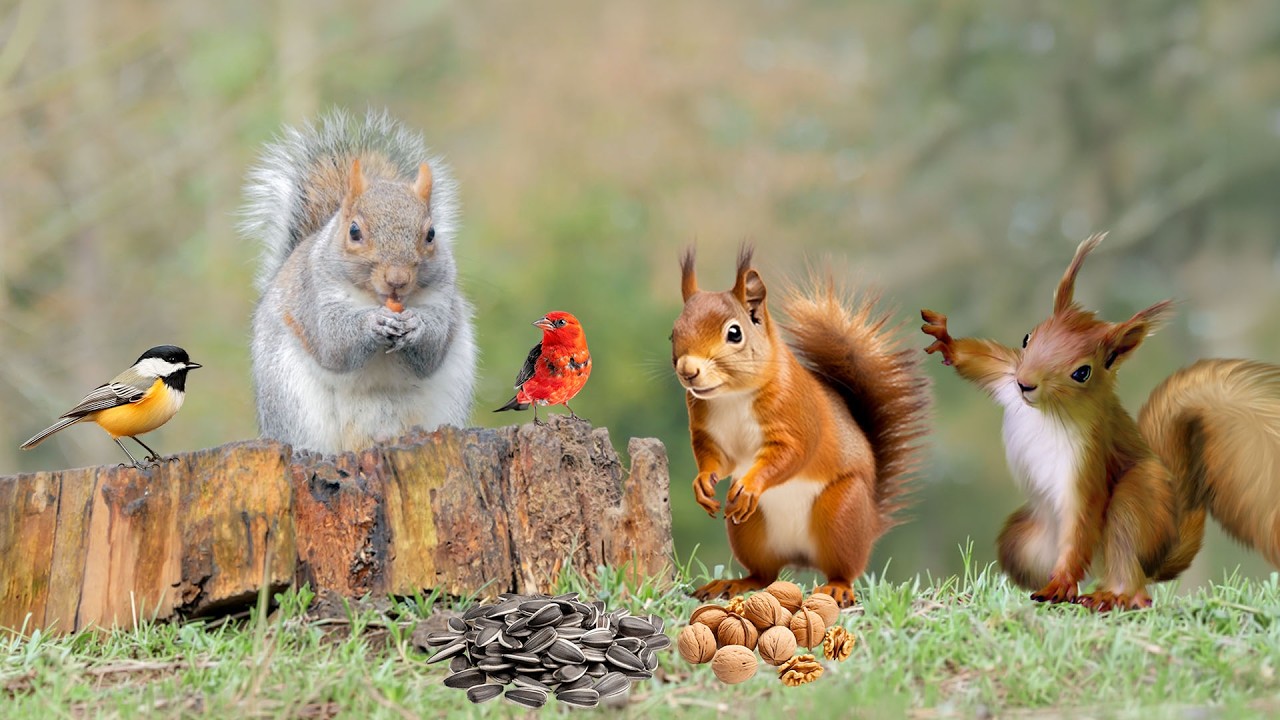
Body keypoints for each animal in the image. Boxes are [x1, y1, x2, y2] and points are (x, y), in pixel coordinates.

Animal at [242, 109, 476, 453]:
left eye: (431, 234)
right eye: (354, 231)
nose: (397, 279)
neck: (376, 298)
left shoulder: (442, 294)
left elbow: (432, 350)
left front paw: (415, 325)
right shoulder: (314, 295)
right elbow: (333, 343)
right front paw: (373, 323)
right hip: (293, 402)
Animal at [671, 246, 931, 607]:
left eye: (734, 333)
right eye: (673, 333)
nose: (687, 371)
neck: (732, 397)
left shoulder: (797, 417)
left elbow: (792, 454)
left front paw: (750, 485)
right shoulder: (707, 431)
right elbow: (715, 460)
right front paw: (702, 485)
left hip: (842, 513)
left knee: (844, 569)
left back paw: (837, 587)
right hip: (750, 531)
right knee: (764, 575)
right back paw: (732, 583)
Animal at [922, 233, 1280, 611]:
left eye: (1082, 372)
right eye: (1027, 338)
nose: (1025, 383)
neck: (1048, 410)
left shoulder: (1088, 456)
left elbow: (1082, 514)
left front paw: (1061, 583)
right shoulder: (1006, 374)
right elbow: (982, 361)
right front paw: (945, 339)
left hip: (1137, 502)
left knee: (1133, 575)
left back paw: (1112, 596)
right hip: (1025, 538)